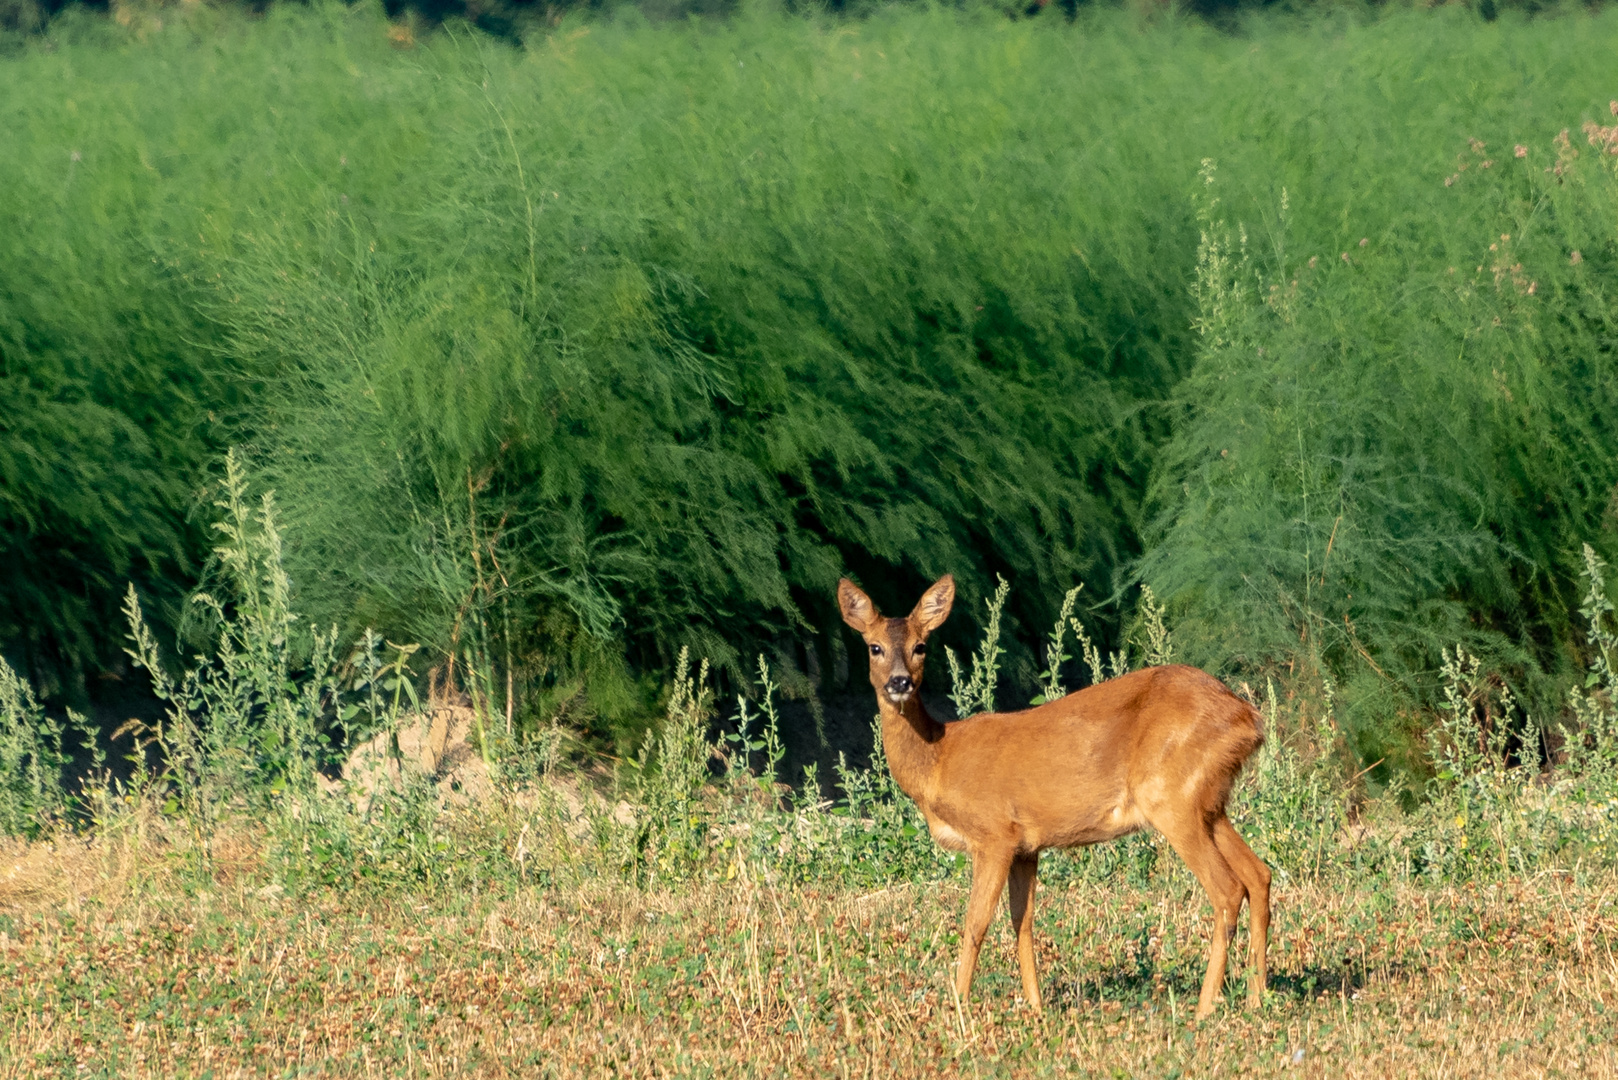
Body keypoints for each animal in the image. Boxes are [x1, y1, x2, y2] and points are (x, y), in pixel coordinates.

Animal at [841, 579, 1268, 1016]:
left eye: (921, 646)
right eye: (874, 647)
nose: (899, 683)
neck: (938, 759)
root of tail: (1249, 719)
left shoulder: (994, 834)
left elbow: (976, 923)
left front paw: (958, 1007)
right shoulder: (1026, 847)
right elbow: (1022, 922)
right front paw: (1035, 1007)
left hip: (1170, 796)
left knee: (1227, 888)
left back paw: (1204, 1007)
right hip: (1209, 802)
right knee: (1259, 874)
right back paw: (1256, 997)